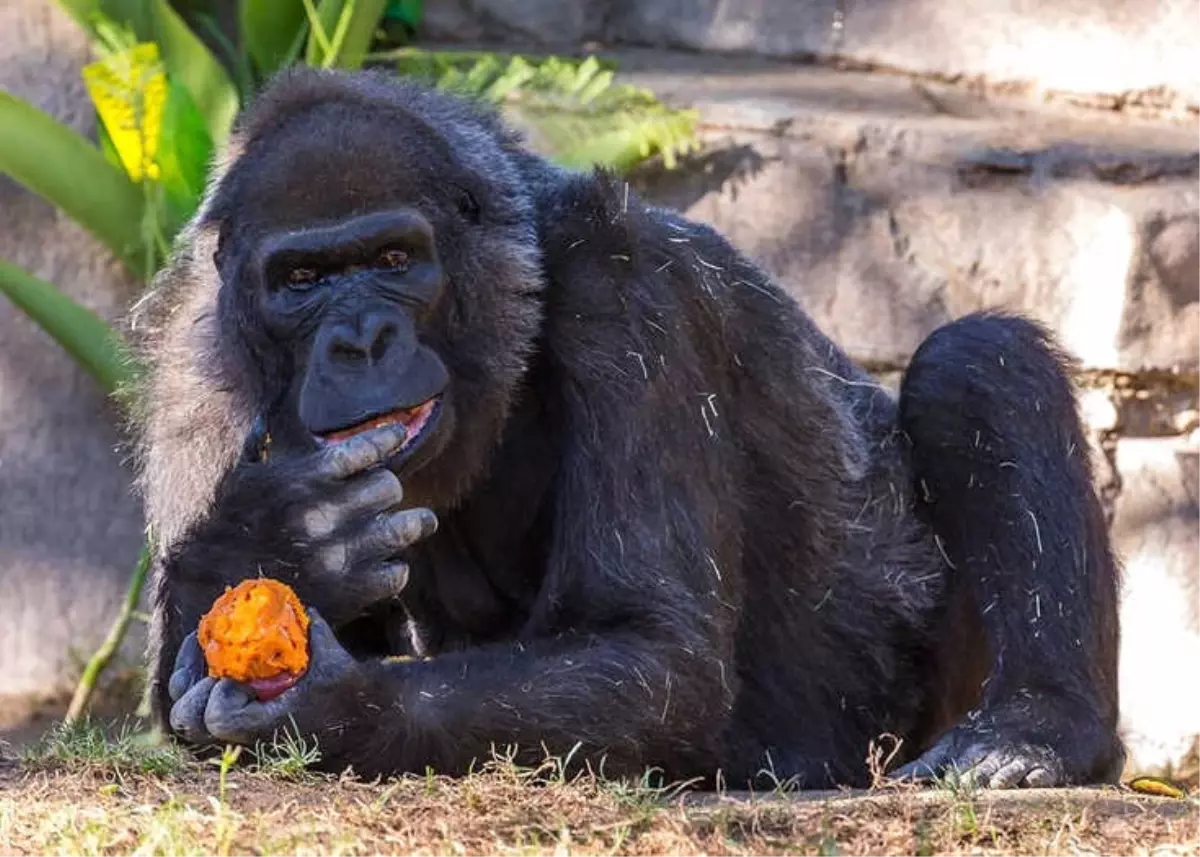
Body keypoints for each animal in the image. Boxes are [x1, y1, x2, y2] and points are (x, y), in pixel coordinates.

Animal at [131, 66, 1123, 787]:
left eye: (393, 258)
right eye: (301, 280)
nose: (361, 339)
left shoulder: (631, 284)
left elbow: (652, 653)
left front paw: (347, 706)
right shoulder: (194, 367)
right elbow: (176, 685)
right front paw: (282, 540)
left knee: (975, 364)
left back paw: (1037, 732)